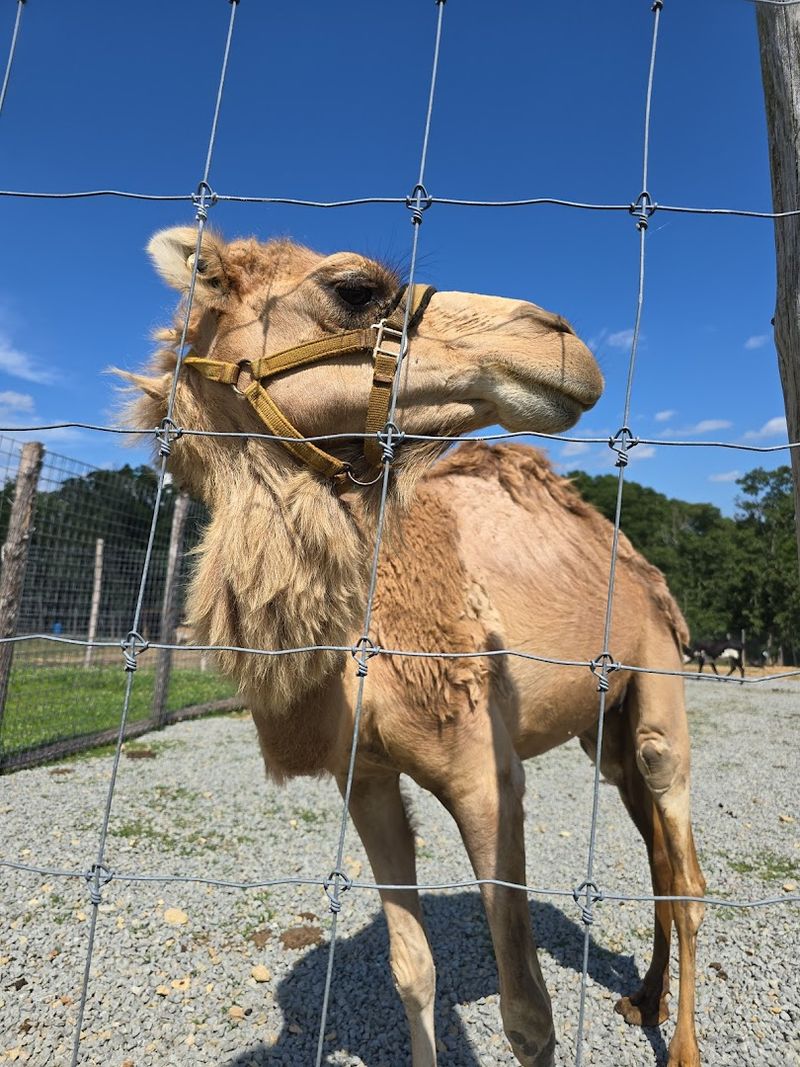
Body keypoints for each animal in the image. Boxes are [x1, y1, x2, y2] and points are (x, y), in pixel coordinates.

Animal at [122, 226, 705, 1067]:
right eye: (354, 289)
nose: (561, 338)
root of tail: (638, 563)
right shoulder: (362, 775)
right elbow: (412, 969)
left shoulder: (486, 773)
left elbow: (529, 1014)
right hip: (606, 726)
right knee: (656, 850)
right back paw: (643, 998)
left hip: (659, 674)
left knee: (684, 865)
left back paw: (682, 1041)